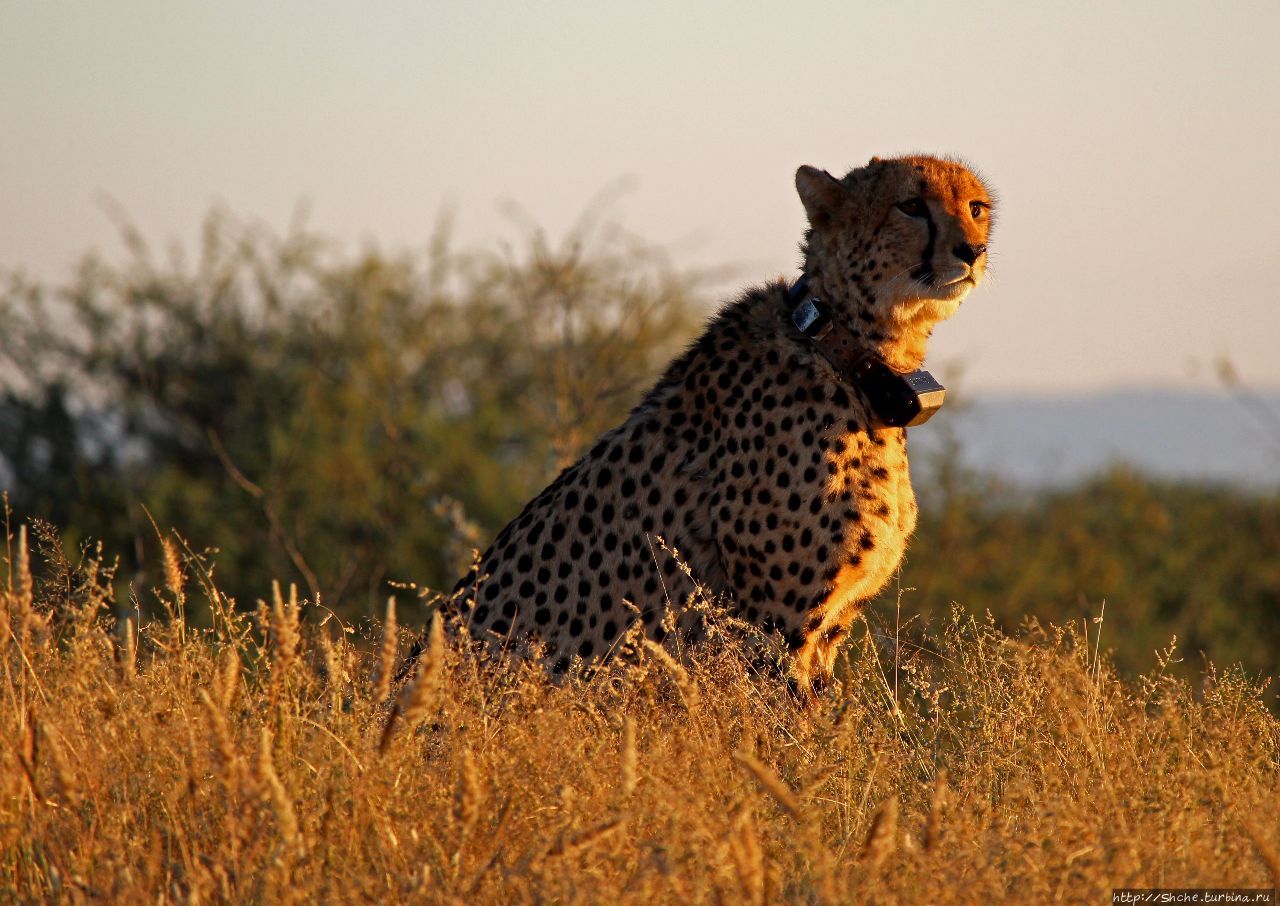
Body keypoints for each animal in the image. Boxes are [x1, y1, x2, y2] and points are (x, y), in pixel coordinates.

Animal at [404, 157, 993, 696]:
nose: (973, 251)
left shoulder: (828, 629)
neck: (848, 352)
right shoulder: (773, 628)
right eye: (911, 205)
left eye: (976, 208)